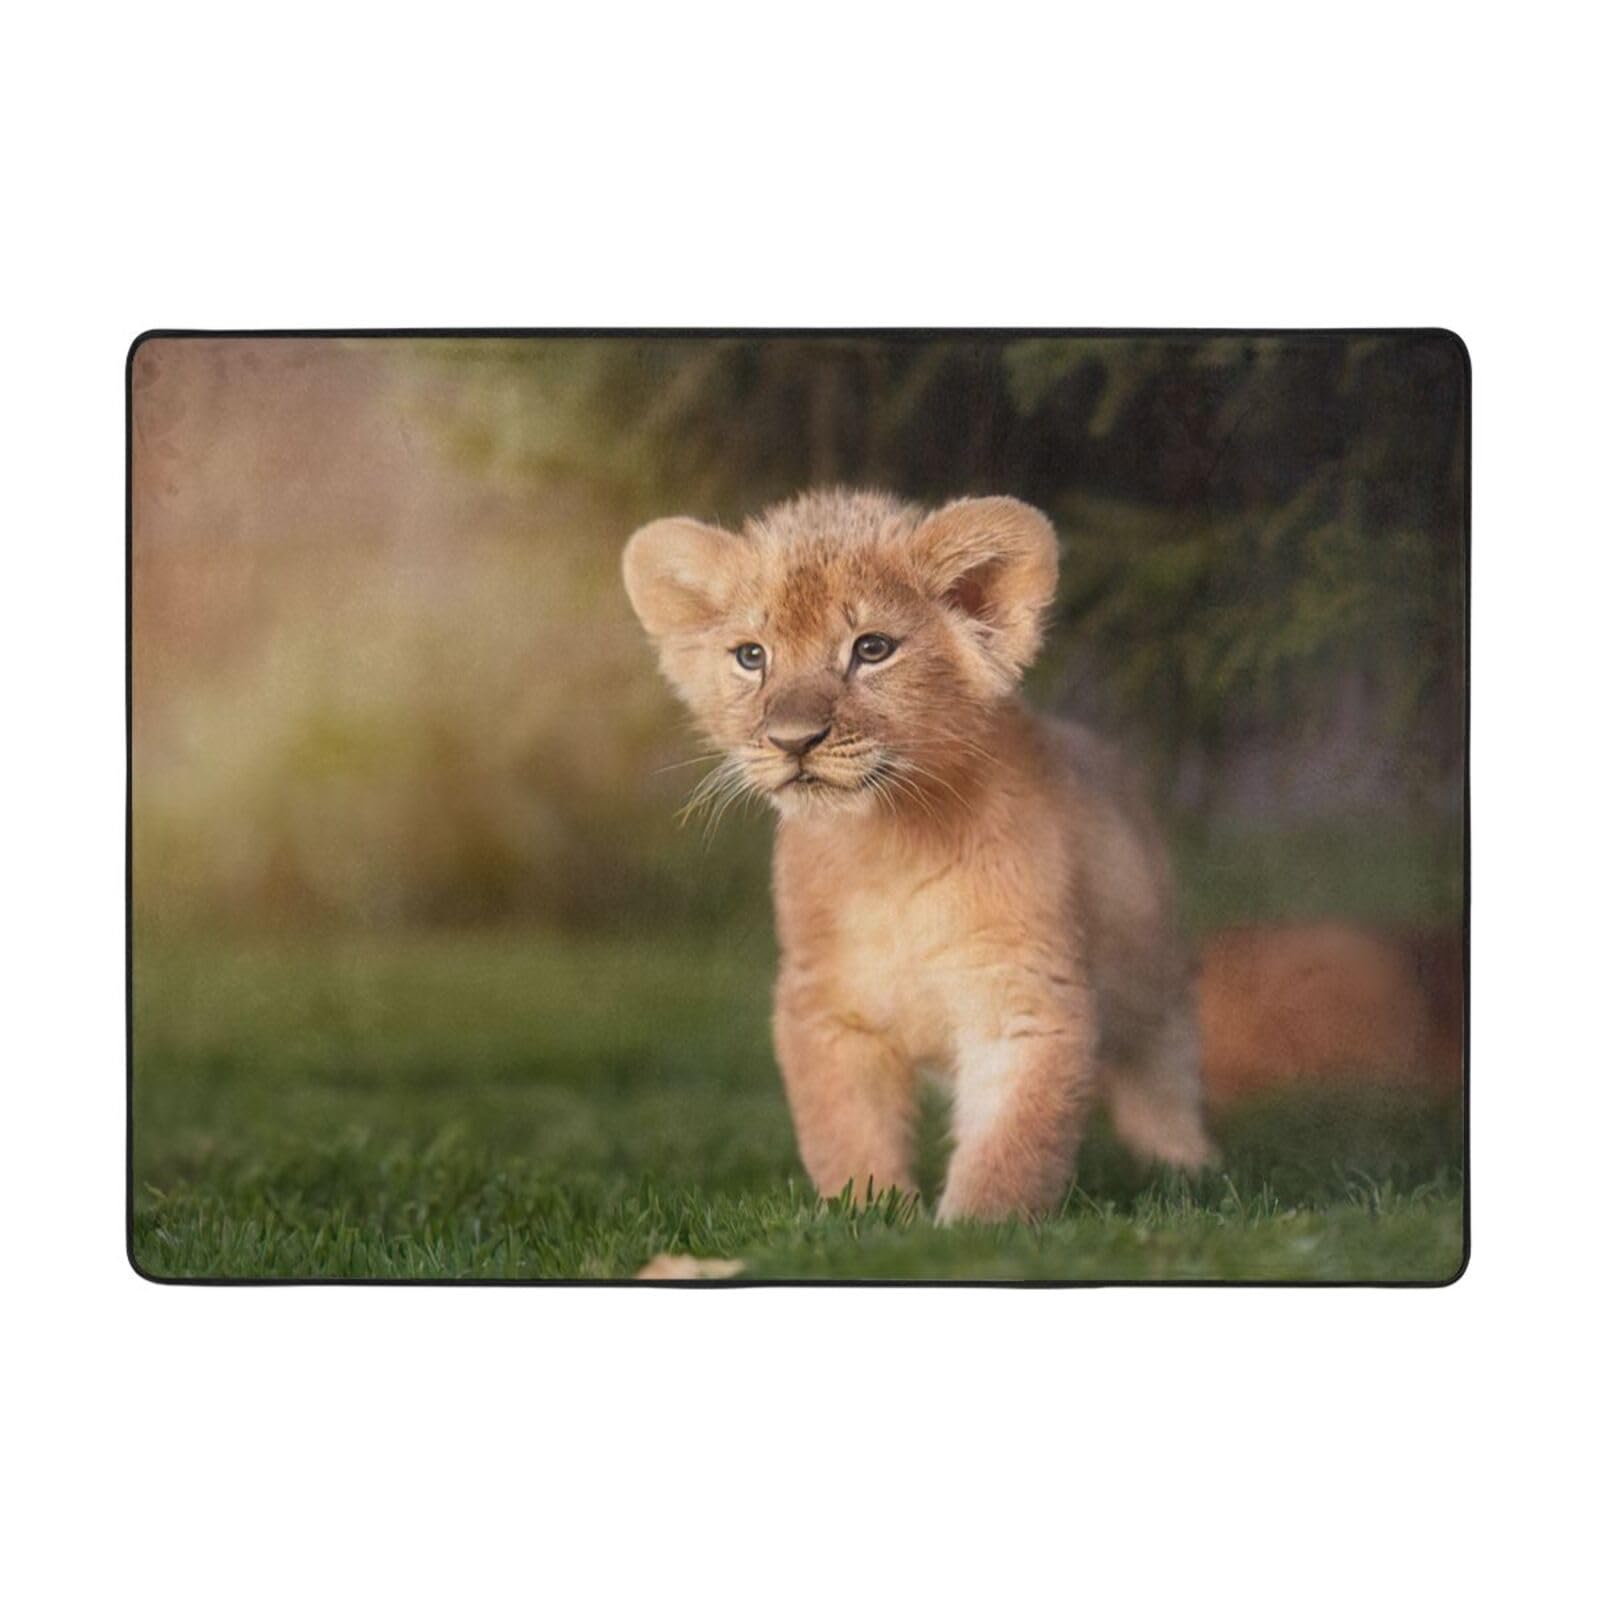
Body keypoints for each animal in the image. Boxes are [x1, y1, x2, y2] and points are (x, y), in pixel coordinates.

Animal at [623, 488, 1214, 1221]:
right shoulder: (827, 1006)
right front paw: (872, 1219)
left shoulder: (1024, 1000)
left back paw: (1185, 1169)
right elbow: (847, 1133)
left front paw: (971, 1231)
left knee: (1164, 1066)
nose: (793, 740)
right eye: (751, 655)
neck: (888, 846)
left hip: (1152, 967)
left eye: (872, 649)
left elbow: (1009, 1148)